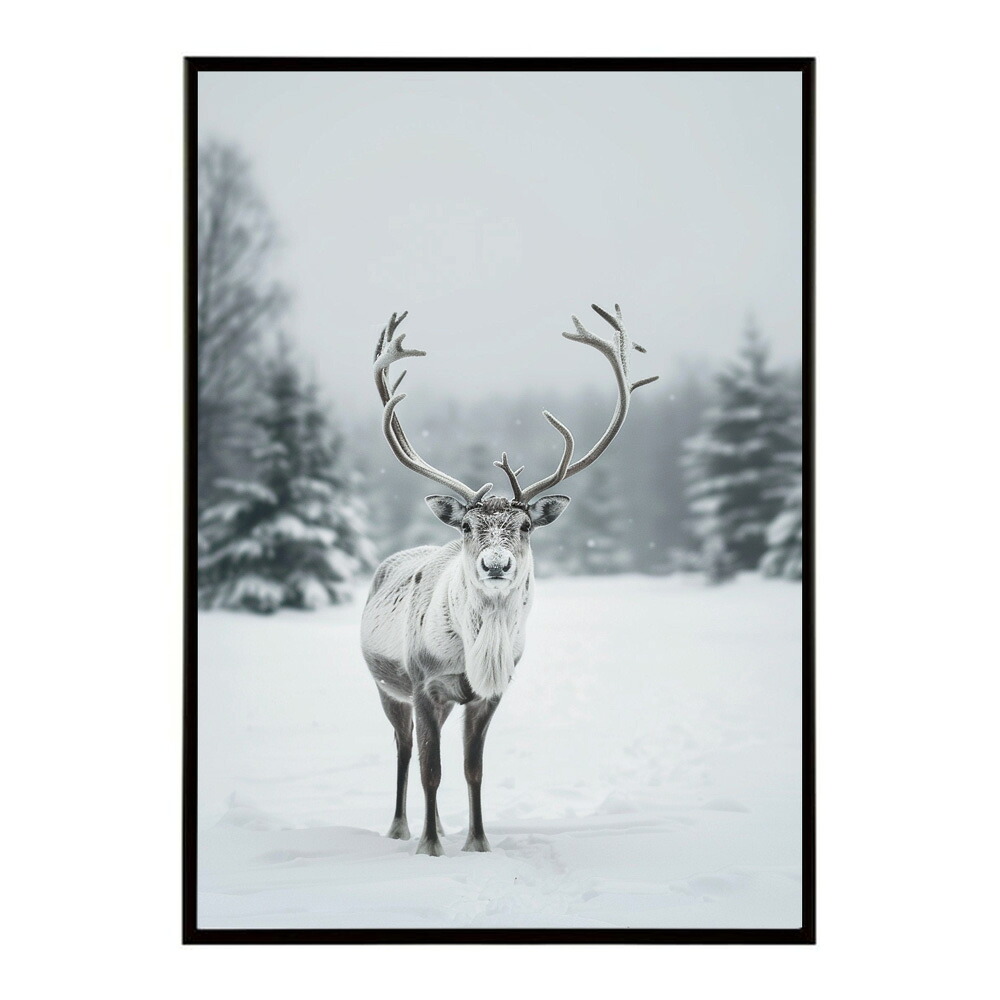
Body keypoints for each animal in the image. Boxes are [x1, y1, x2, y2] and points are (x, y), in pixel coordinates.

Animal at [360, 304, 658, 856]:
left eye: (524, 526)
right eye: (467, 526)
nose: (495, 565)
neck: (476, 653)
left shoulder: (489, 694)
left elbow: (472, 770)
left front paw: (477, 843)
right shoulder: (424, 684)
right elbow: (432, 771)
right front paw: (429, 848)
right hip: (387, 688)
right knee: (404, 753)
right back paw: (401, 828)